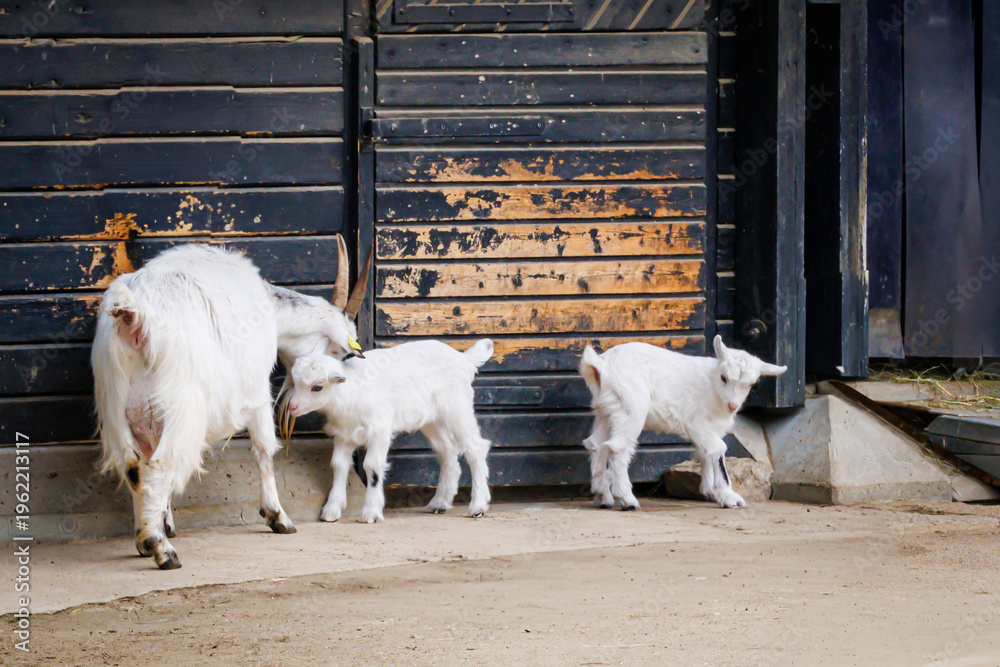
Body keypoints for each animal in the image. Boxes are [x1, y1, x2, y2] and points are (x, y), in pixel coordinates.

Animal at [91, 238, 368, 569]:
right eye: (340, 352)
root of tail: (134, 317)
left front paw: (163, 521)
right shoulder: (258, 390)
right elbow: (264, 450)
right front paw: (278, 516)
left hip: (117, 405)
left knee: (134, 466)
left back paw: (146, 539)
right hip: (181, 405)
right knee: (160, 464)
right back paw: (162, 550)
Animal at [286, 339, 494, 523]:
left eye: (317, 387)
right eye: (295, 382)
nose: (292, 407)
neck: (351, 390)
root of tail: (464, 358)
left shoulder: (379, 431)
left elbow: (372, 466)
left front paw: (371, 513)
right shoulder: (344, 435)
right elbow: (339, 465)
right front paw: (331, 511)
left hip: (457, 408)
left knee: (475, 448)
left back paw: (477, 507)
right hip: (432, 420)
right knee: (448, 451)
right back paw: (439, 503)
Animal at [579, 335, 786, 510]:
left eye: (750, 384)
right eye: (724, 377)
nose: (732, 406)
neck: (713, 388)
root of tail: (602, 365)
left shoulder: (710, 430)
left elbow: (706, 453)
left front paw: (711, 492)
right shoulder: (698, 424)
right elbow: (718, 450)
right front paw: (729, 497)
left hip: (607, 410)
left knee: (596, 445)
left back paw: (603, 497)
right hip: (630, 408)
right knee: (617, 449)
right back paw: (627, 500)